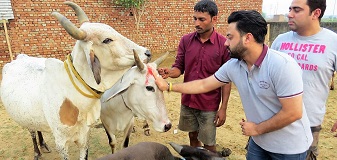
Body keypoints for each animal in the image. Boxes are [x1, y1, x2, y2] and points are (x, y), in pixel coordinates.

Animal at [0, 1, 150, 160]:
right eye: (107, 40)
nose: (147, 53)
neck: (74, 98)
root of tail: (18, 58)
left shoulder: (84, 137)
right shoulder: (61, 143)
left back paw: (43, 144)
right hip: (24, 117)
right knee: (32, 131)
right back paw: (37, 151)